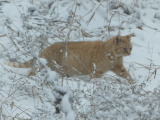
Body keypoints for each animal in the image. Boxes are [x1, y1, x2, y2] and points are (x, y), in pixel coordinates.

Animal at [4, 33, 134, 84]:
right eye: (124, 48)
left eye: (130, 48)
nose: (129, 53)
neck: (114, 56)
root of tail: (45, 49)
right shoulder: (97, 72)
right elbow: (94, 80)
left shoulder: (119, 68)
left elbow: (128, 75)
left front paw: (133, 84)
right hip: (48, 67)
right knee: (32, 72)